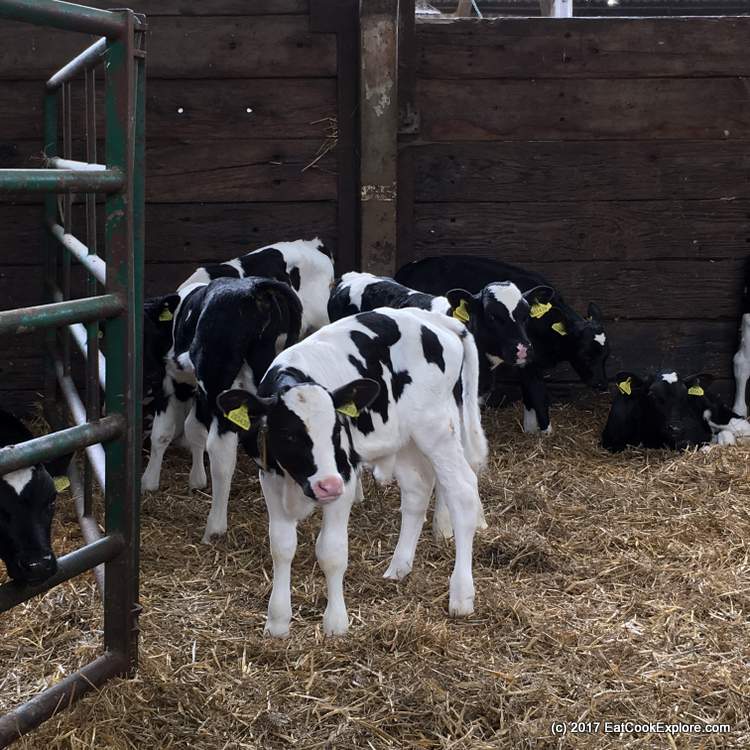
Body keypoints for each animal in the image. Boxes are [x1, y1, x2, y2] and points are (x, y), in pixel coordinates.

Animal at [141, 278, 303, 545]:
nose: (150, 374)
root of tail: (255, 287)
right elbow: (193, 428)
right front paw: (197, 479)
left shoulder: (174, 383)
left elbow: (162, 433)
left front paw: (149, 481)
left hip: (219, 385)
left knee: (222, 454)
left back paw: (214, 528)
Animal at [215, 307, 488, 636]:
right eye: (289, 435)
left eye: (336, 430)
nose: (327, 486)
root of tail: (432, 319)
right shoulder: (270, 477)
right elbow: (281, 546)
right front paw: (277, 621)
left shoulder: (343, 476)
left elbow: (331, 552)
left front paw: (336, 622)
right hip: (403, 437)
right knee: (417, 490)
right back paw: (399, 566)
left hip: (436, 429)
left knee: (463, 491)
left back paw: (461, 594)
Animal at [395, 255, 609, 434]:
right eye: (586, 354)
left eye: (606, 356)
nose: (602, 384)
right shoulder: (529, 362)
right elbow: (537, 392)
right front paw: (545, 432)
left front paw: (531, 430)